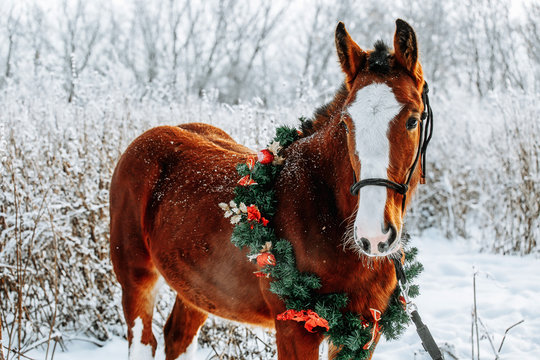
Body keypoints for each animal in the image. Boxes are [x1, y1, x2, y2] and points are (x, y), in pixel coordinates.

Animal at [109, 19, 428, 360]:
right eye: (346, 123)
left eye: (412, 119)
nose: (374, 236)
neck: (323, 212)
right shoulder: (294, 330)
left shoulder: (363, 333)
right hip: (136, 277)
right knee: (144, 341)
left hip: (196, 287)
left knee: (177, 337)